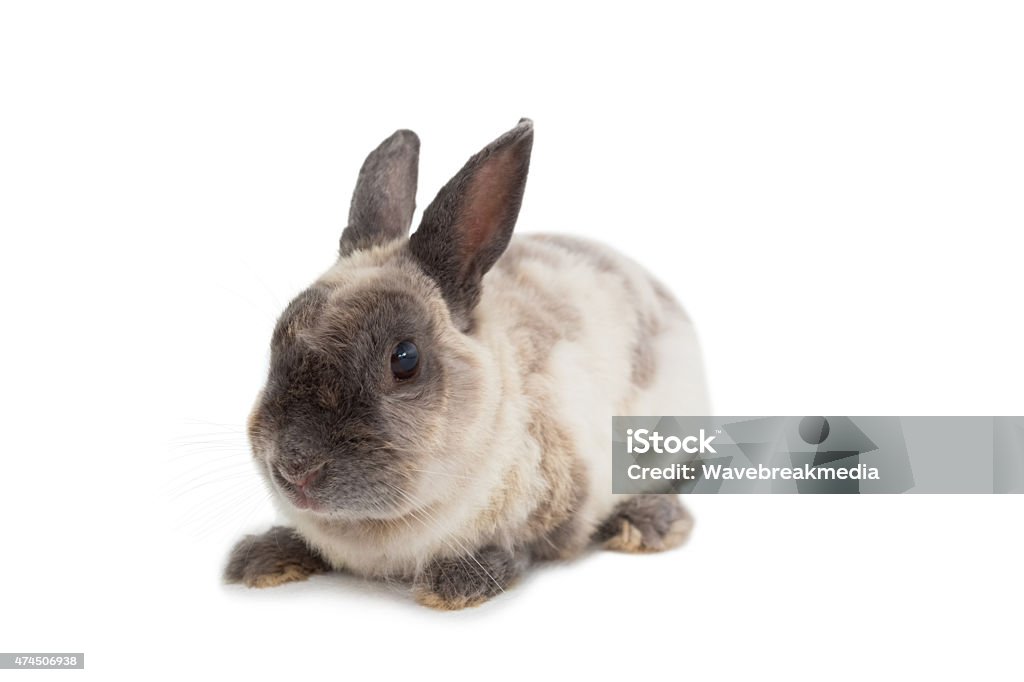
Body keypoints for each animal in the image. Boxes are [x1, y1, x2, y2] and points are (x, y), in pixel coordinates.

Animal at [224, 119, 710, 609]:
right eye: (276, 340)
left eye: (405, 359)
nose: (296, 468)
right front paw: (260, 559)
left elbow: (525, 547)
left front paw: (456, 583)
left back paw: (648, 523)